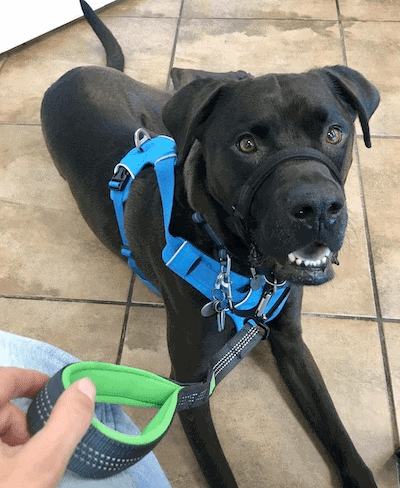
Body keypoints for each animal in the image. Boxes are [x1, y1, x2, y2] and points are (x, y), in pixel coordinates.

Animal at [41, 2, 382, 484]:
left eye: (334, 133)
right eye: (246, 144)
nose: (318, 208)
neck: (244, 271)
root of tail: (75, 71)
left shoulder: (291, 341)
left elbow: (338, 433)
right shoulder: (188, 386)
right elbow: (220, 470)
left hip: (161, 115)